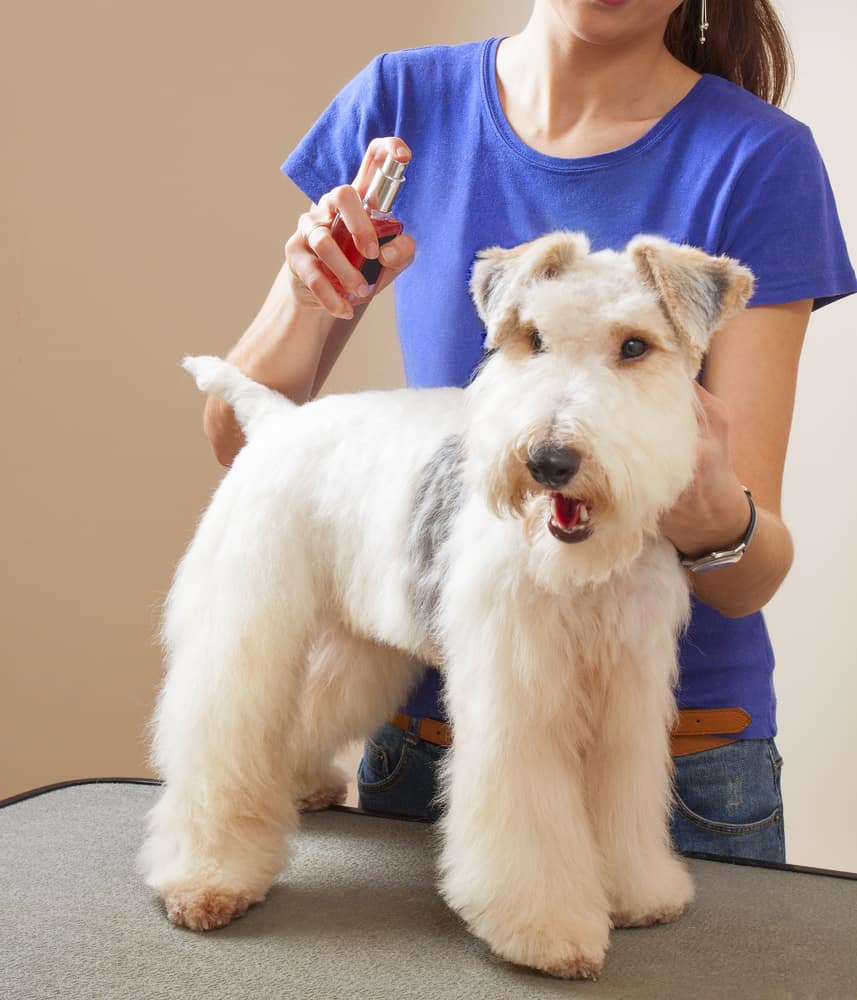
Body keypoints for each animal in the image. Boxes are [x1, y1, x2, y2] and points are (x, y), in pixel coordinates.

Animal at [142, 232, 756, 976]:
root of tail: (279, 419)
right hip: (246, 626)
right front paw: (548, 929)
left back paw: (299, 786)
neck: (578, 571)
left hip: (359, 644)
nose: (549, 460)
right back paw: (204, 879)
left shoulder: (625, 693)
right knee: (221, 744)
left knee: (308, 713)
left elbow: (622, 806)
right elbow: (531, 823)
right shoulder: (521, 692)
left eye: (634, 345)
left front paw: (637, 892)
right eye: (532, 337)